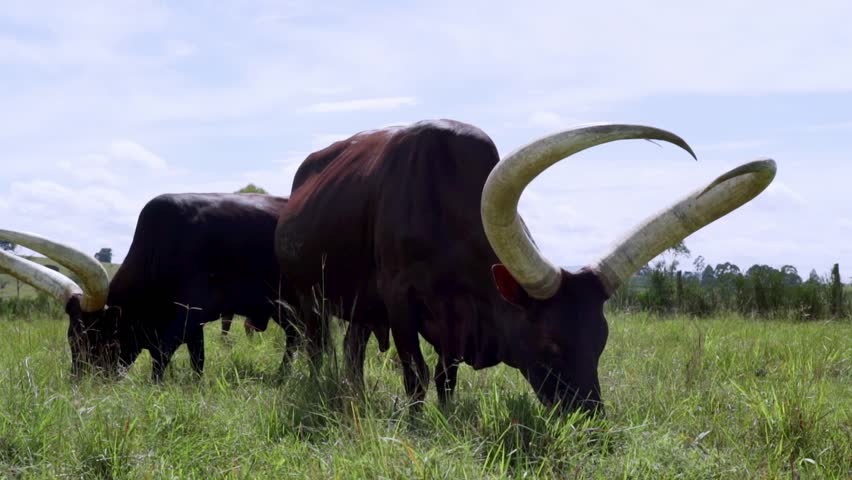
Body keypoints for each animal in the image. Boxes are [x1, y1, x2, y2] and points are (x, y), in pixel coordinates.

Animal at [0, 193, 303, 381]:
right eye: (72, 339)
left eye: (97, 338)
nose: (81, 385)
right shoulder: (192, 326)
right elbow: (197, 361)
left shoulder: (184, 319)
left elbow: (161, 362)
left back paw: (284, 375)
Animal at [275, 120, 776, 412]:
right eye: (549, 345)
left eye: (601, 342)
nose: (590, 425)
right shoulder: (402, 305)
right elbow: (416, 377)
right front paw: (420, 424)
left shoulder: (452, 323)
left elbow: (445, 378)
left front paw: (448, 416)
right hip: (307, 296)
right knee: (316, 345)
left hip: (360, 307)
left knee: (352, 348)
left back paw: (354, 394)